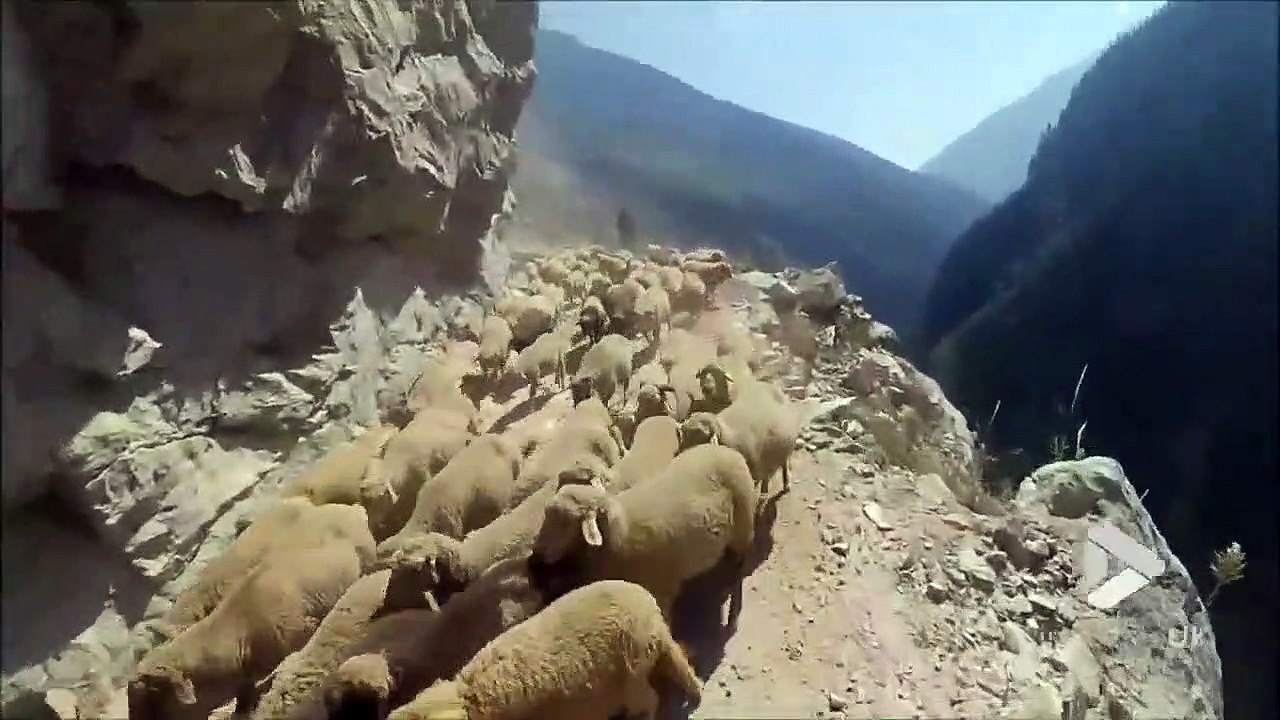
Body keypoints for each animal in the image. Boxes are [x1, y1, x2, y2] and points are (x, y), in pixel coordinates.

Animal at [528, 444, 759, 628]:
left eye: (565, 523)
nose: (535, 555)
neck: (620, 533)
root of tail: (727, 451)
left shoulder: (662, 590)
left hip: (743, 525)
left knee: (739, 567)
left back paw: (733, 612)